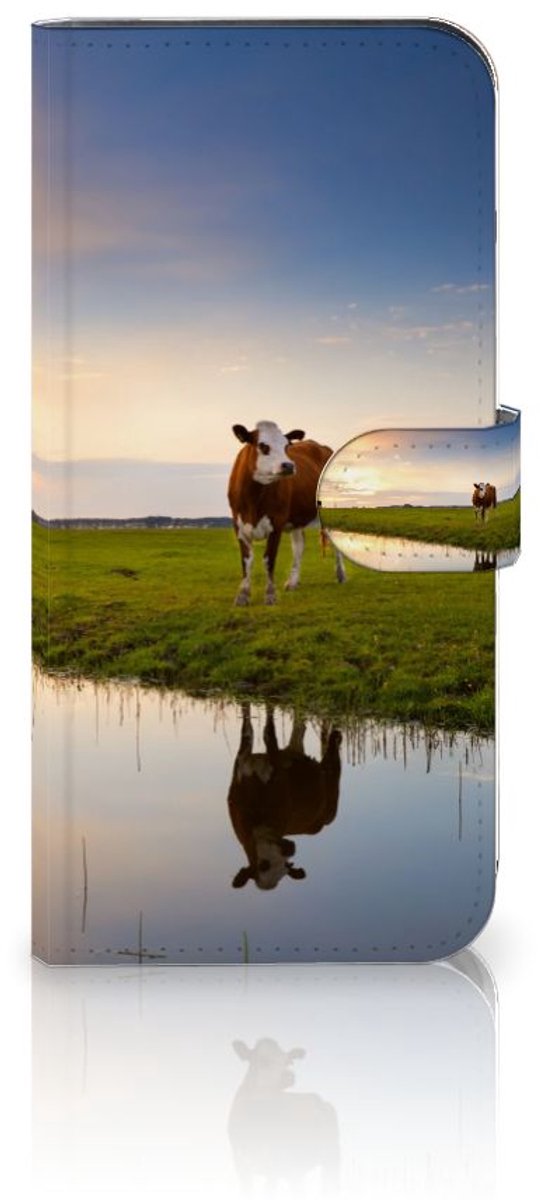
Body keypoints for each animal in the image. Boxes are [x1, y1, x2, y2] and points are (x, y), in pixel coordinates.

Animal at [227, 704, 342, 890]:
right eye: (263, 865)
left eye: (286, 866)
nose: (290, 849)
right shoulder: (242, 761)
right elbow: (248, 729)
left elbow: (268, 733)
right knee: (299, 728)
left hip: (331, 802)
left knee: (331, 757)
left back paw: (336, 736)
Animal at [228, 420, 345, 605]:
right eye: (263, 446)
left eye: (286, 446)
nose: (289, 465)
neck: (254, 499)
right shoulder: (239, 525)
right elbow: (246, 561)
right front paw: (242, 595)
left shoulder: (277, 523)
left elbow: (269, 559)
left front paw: (270, 595)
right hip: (296, 519)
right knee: (299, 545)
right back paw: (292, 582)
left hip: (329, 510)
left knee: (334, 541)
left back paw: (340, 575)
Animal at [228, 1038, 340, 1193]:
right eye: (263, 1060)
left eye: (288, 1061)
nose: (289, 1076)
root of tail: (319, 1099)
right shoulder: (241, 1165)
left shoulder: (274, 1166)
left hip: (331, 1158)